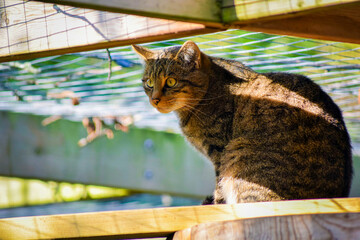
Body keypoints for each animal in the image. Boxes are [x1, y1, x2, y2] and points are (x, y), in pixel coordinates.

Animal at [132, 40, 352, 203]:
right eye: (149, 82)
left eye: (171, 82)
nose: (154, 99)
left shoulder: (219, 151)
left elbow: (219, 186)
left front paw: (216, 204)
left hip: (241, 155)